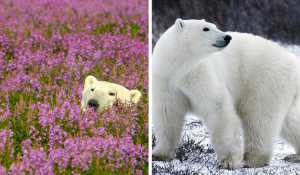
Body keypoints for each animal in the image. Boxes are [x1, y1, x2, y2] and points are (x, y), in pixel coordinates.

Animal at [152, 18, 300, 170]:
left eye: (214, 26)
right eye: (206, 28)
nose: (227, 37)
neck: (179, 67)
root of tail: (293, 62)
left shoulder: (200, 73)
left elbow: (217, 107)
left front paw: (228, 161)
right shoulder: (166, 80)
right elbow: (167, 113)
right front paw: (159, 154)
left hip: (264, 80)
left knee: (258, 117)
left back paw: (252, 159)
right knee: (287, 121)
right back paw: (294, 156)